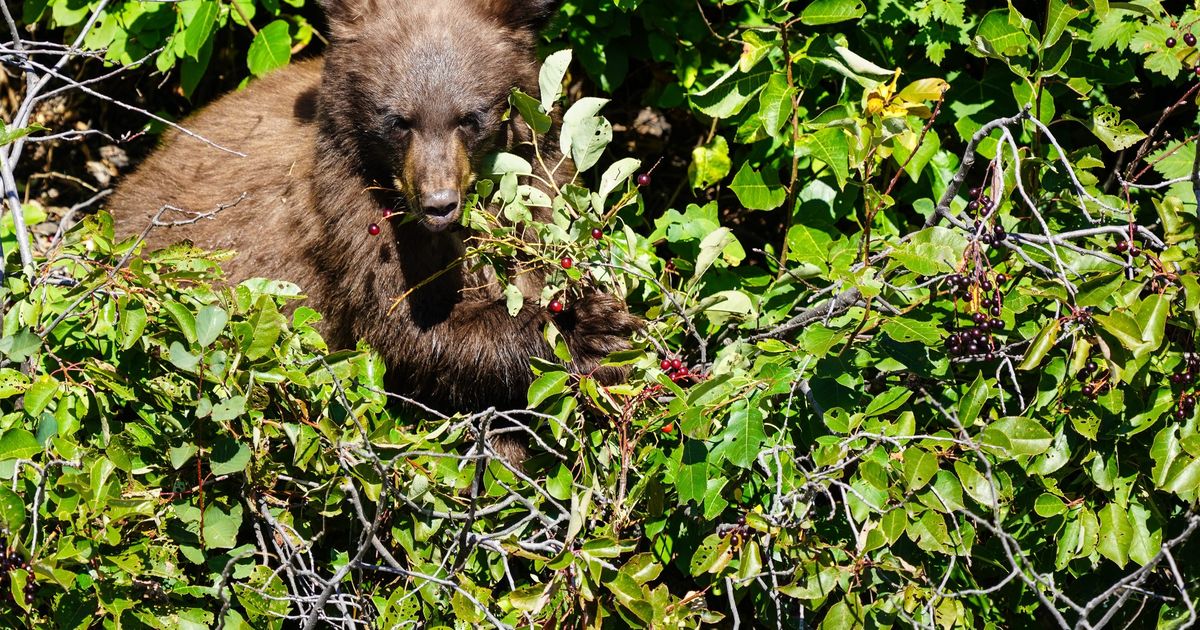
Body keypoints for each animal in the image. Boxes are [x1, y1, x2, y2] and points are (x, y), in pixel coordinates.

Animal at [107, 0, 640, 434]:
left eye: (470, 117)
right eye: (398, 119)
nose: (439, 202)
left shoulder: (536, 186)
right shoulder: (347, 210)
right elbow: (406, 330)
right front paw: (588, 330)